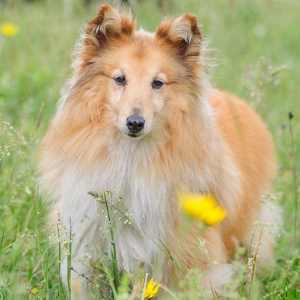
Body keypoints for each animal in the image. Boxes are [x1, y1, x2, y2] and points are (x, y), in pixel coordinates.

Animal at [38, 3, 282, 298]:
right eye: (120, 79)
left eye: (158, 83)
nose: (135, 123)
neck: (131, 156)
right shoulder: (87, 244)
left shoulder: (177, 256)